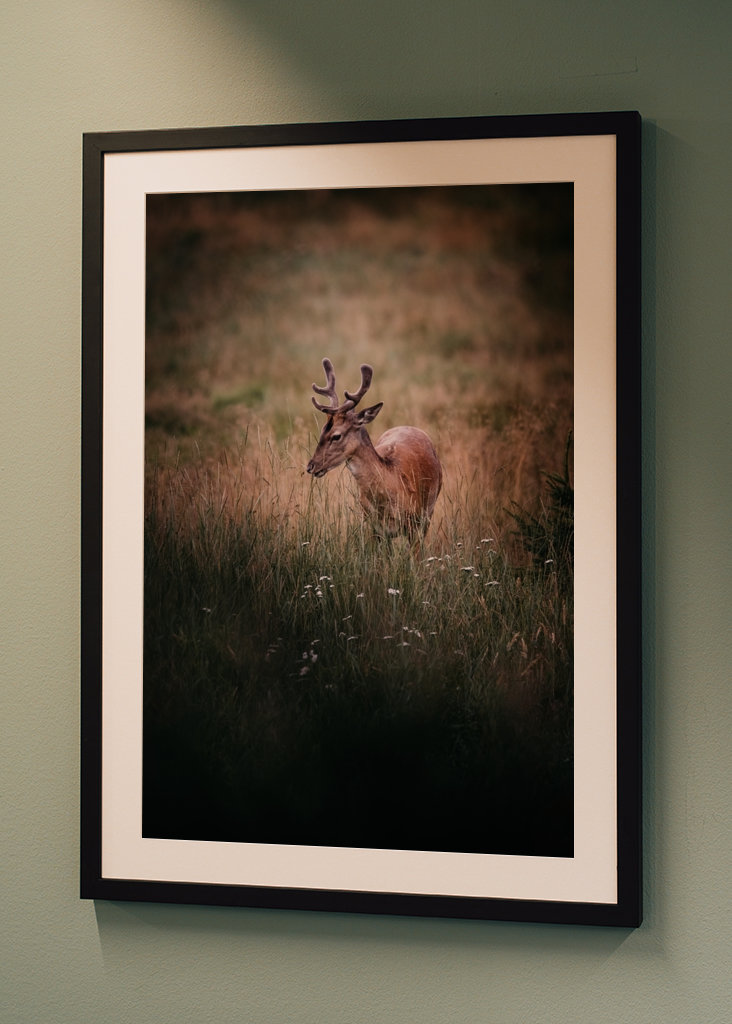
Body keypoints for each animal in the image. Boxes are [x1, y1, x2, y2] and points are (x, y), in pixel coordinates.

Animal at [306, 358, 442, 551]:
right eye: (322, 430)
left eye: (336, 435)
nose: (311, 465)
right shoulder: (372, 526)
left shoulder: (414, 523)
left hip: (430, 510)